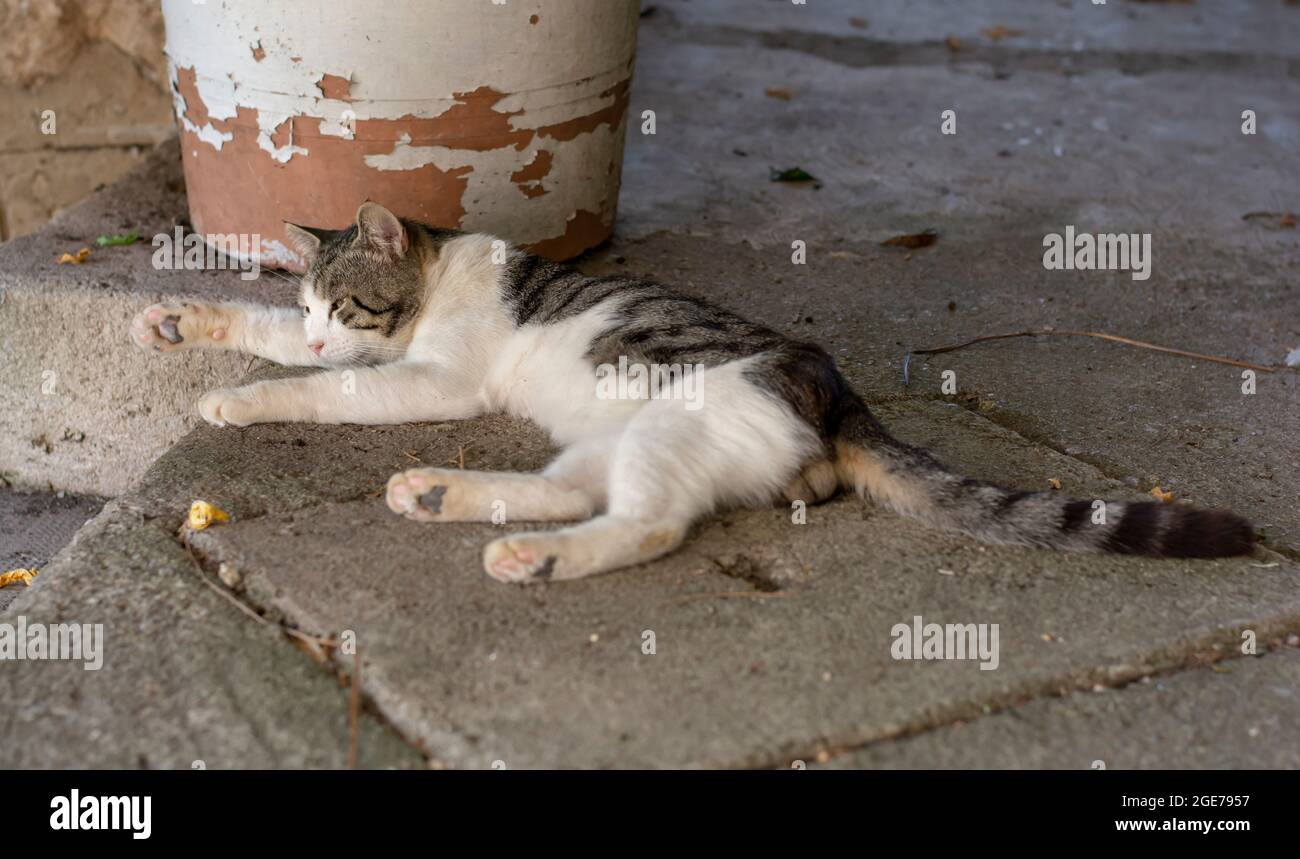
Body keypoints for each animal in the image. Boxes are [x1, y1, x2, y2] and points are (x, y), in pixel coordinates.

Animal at [126, 202, 1253, 582]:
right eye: (310, 302)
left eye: (348, 303)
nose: (322, 329)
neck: (444, 270)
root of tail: (831, 389)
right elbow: (268, 340)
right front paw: (181, 323)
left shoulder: (427, 374)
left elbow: (335, 390)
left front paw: (240, 402)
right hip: (622, 435)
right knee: (576, 489)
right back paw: (444, 494)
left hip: (675, 425)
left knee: (648, 524)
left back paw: (531, 557)